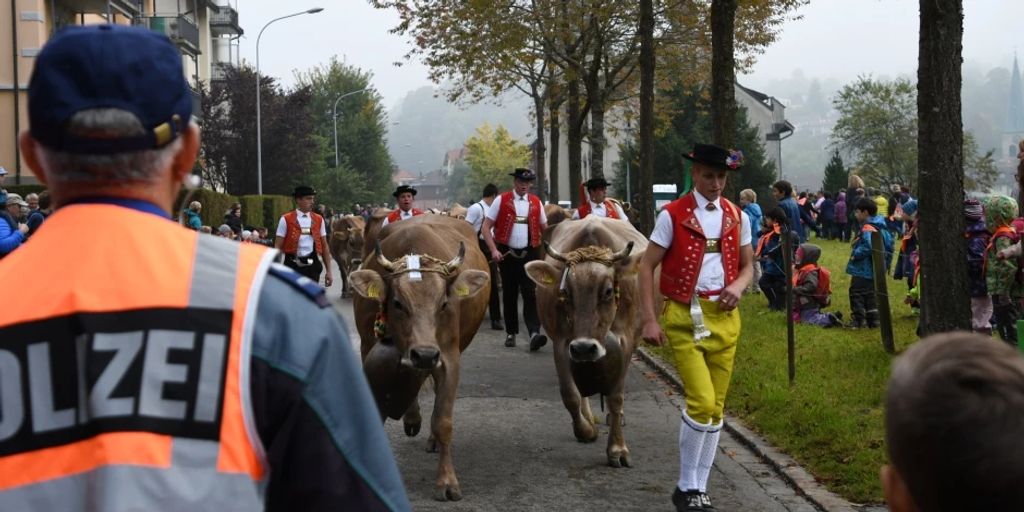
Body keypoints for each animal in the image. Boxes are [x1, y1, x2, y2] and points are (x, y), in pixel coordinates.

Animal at [350, 214, 489, 501]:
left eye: (444, 304)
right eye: (398, 303)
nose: (424, 353)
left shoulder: (448, 355)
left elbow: (443, 420)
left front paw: (447, 481)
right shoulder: (368, 347)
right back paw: (412, 417)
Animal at [524, 216, 643, 468]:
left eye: (608, 291)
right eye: (565, 292)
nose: (584, 347)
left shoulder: (626, 340)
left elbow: (616, 397)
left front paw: (617, 449)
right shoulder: (562, 342)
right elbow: (570, 394)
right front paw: (586, 430)